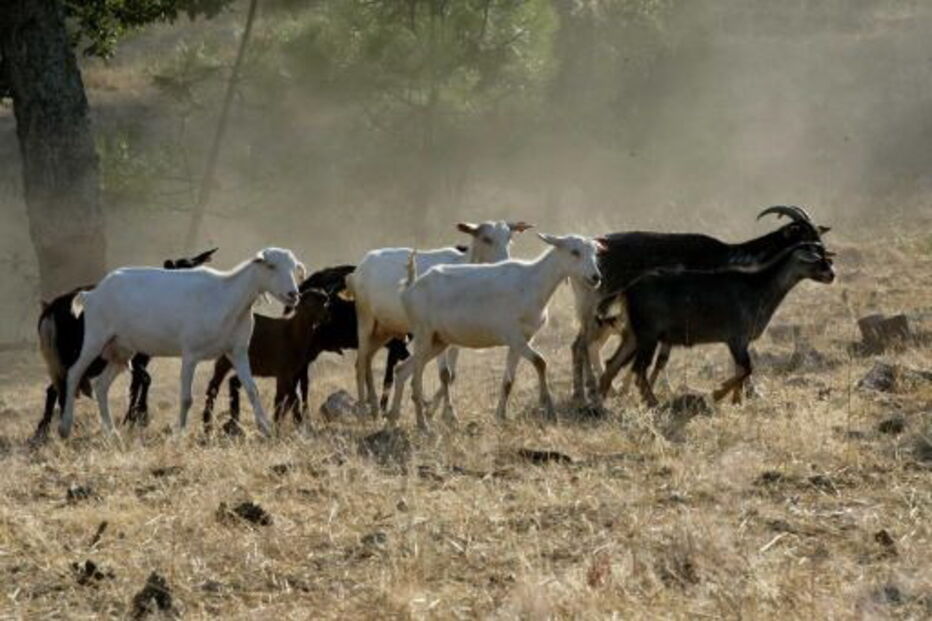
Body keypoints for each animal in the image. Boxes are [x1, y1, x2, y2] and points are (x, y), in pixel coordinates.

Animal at [33, 248, 218, 442]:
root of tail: (50, 310)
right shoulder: (136, 356)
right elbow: (144, 380)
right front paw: (139, 416)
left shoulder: (136, 357)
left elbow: (137, 384)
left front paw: (133, 418)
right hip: (80, 356)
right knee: (63, 385)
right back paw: (56, 428)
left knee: (55, 387)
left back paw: (44, 429)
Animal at [59, 248, 305, 439]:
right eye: (271, 266)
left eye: (293, 267)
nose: (293, 294)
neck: (226, 297)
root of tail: (91, 294)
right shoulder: (190, 354)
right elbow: (186, 398)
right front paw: (180, 434)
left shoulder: (238, 351)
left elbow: (252, 390)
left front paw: (266, 429)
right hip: (95, 337)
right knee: (73, 373)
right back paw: (65, 427)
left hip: (122, 349)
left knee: (101, 386)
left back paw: (111, 432)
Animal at [348, 220, 531, 418]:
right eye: (486, 238)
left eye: (509, 238)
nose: (505, 262)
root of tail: (359, 269)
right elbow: (444, 374)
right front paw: (447, 414)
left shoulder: (457, 335)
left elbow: (452, 374)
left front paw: (437, 411)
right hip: (365, 319)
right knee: (360, 363)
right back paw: (363, 411)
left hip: (384, 329)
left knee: (367, 359)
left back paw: (374, 407)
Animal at [389, 233, 602, 431]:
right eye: (574, 251)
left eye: (594, 251)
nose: (596, 277)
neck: (532, 283)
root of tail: (409, 288)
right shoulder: (515, 337)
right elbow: (541, 362)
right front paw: (548, 409)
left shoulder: (523, 340)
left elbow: (508, 380)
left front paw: (501, 416)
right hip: (423, 334)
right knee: (415, 379)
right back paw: (423, 425)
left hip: (438, 341)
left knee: (401, 370)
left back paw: (394, 420)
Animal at [571, 205, 830, 402]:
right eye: (803, 234)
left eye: (818, 233)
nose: (827, 259)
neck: (740, 258)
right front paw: (750, 392)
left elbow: (663, 360)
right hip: (598, 313)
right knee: (582, 345)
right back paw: (585, 392)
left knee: (582, 346)